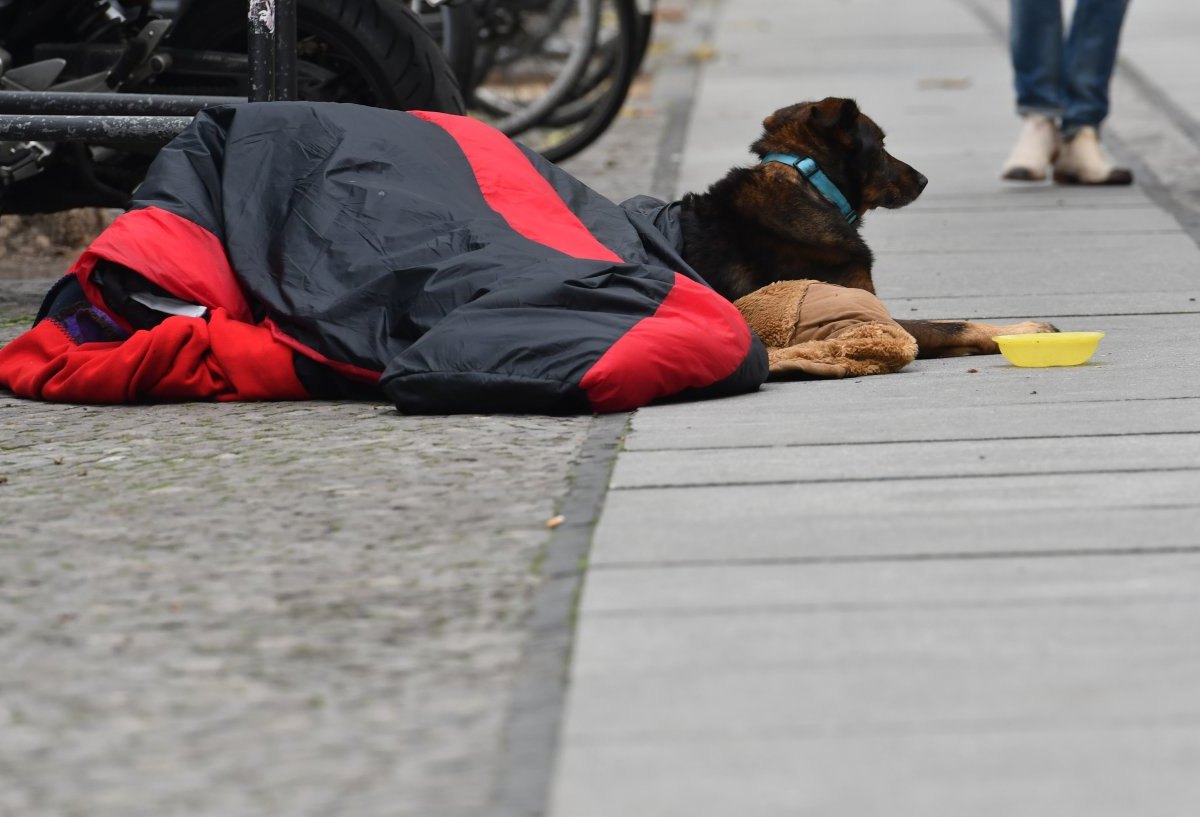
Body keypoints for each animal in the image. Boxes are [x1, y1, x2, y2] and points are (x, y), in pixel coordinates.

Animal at [681, 96, 1056, 357]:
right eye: (882, 146)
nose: (923, 180)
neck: (812, 184)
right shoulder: (865, 316)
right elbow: (953, 325)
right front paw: (1024, 330)